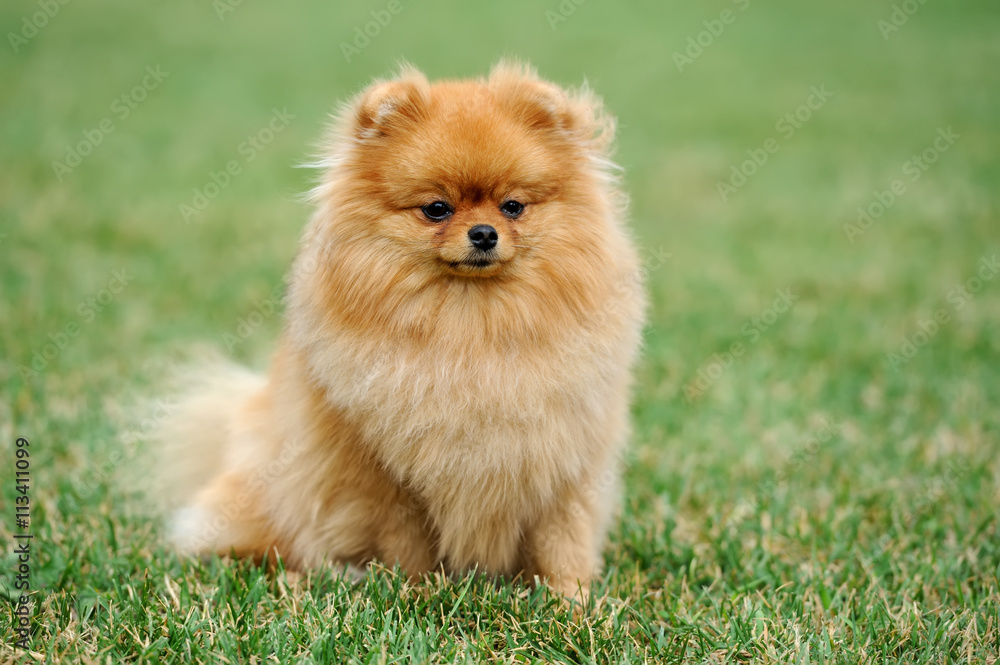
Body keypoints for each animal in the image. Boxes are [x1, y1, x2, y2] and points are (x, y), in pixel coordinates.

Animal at [155, 62, 644, 600]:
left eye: (513, 206)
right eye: (436, 209)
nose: (484, 233)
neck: (470, 327)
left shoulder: (565, 461)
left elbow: (563, 539)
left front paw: (571, 600)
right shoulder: (387, 476)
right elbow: (406, 541)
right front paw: (416, 593)